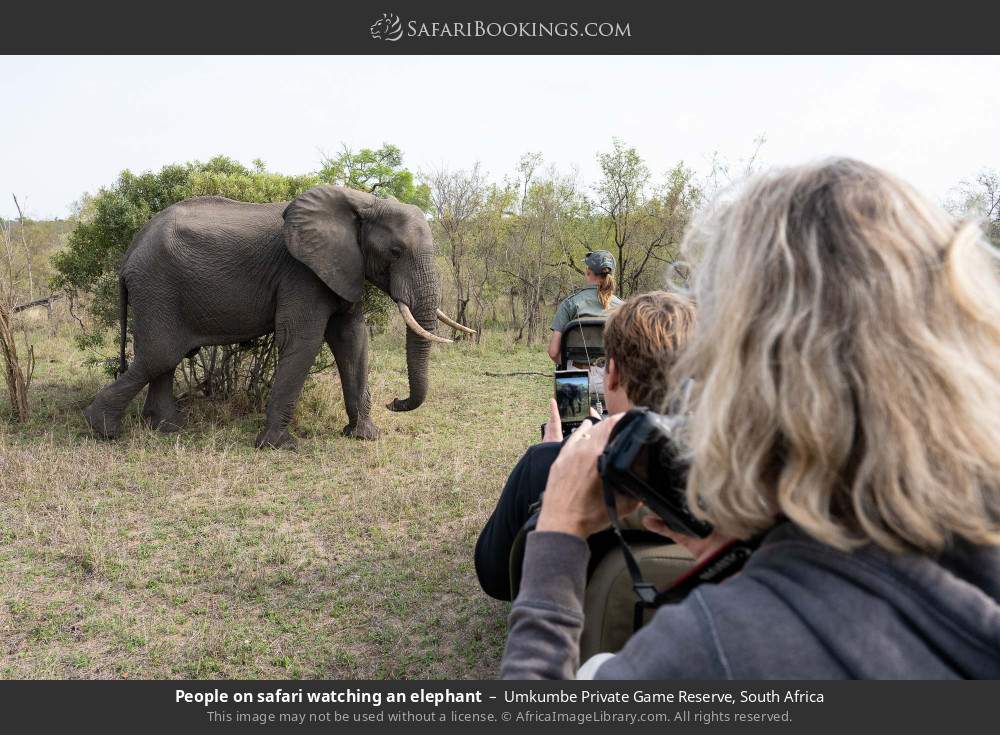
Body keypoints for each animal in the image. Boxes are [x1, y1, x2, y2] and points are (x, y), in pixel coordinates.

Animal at [82, 185, 475, 449]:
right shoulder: (301, 272)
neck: (362, 201)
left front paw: (364, 436)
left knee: (163, 359)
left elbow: (353, 340)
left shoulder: (343, 267)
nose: (395, 402)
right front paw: (278, 446)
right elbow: (304, 340)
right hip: (156, 288)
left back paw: (168, 429)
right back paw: (103, 430)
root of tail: (130, 252)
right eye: (395, 251)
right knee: (159, 356)